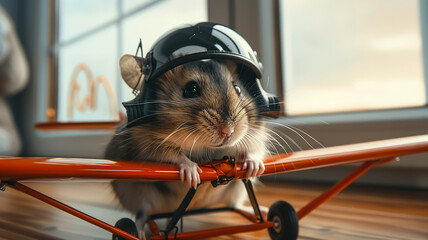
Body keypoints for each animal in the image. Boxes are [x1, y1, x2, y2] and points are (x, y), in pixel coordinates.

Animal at [104, 55, 268, 226]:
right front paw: (193, 174)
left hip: (236, 191)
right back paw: (140, 228)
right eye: (191, 89)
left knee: (235, 205)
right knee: (142, 215)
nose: (227, 131)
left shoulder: (256, 137)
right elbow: (173, 155)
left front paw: (254, 168)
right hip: (138, 195)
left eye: (237, 88)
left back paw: (262, 211)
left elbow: (254, 151)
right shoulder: (148, 145)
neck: (209, 148)